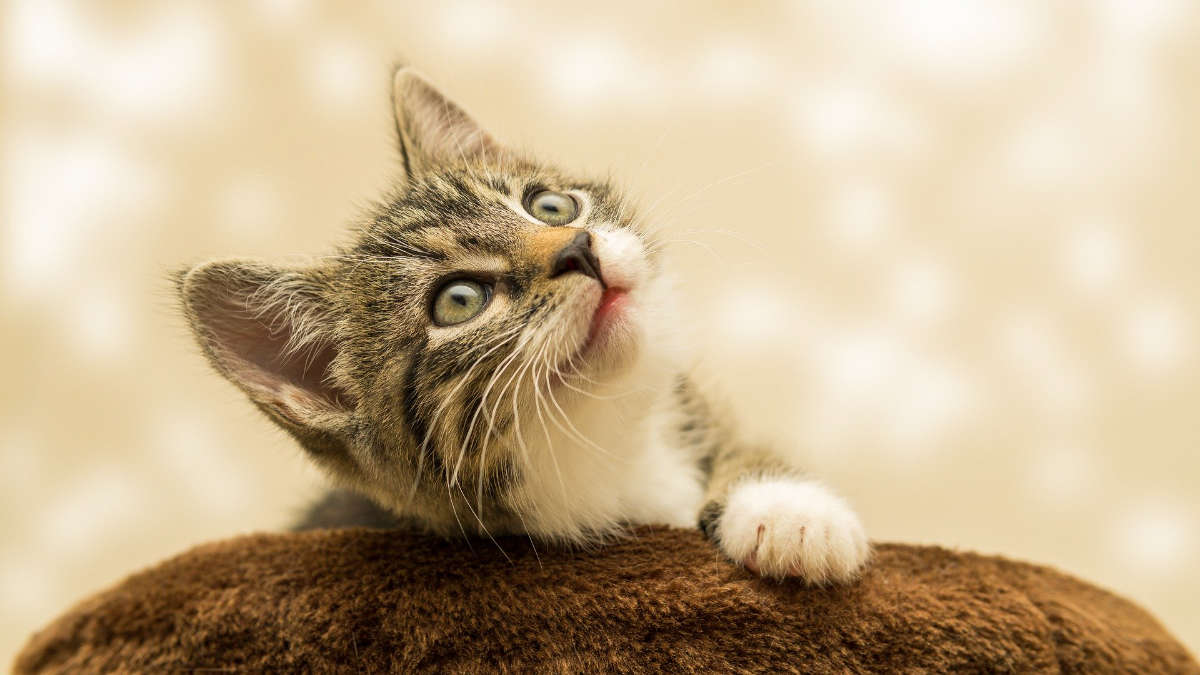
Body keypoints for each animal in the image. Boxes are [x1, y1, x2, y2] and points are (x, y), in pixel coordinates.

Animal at [177, 69, 868, 583]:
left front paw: (789, 511)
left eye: (550, 206)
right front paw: (791, 521)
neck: (612, 448)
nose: (580, 248)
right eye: (459, 300)